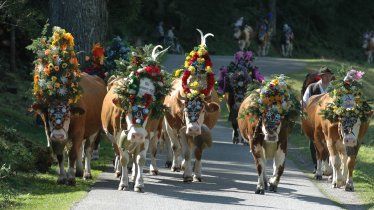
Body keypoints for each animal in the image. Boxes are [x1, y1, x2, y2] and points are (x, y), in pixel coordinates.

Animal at [101, 45, 168, 192]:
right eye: (127, 108)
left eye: (149, 111)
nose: (137, 134)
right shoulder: (119, 134)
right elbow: (124, 159)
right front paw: (123, 183)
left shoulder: (146, 136)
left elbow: (140, 160)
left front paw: (139, 183)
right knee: (119, 155)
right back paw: (120, 172)